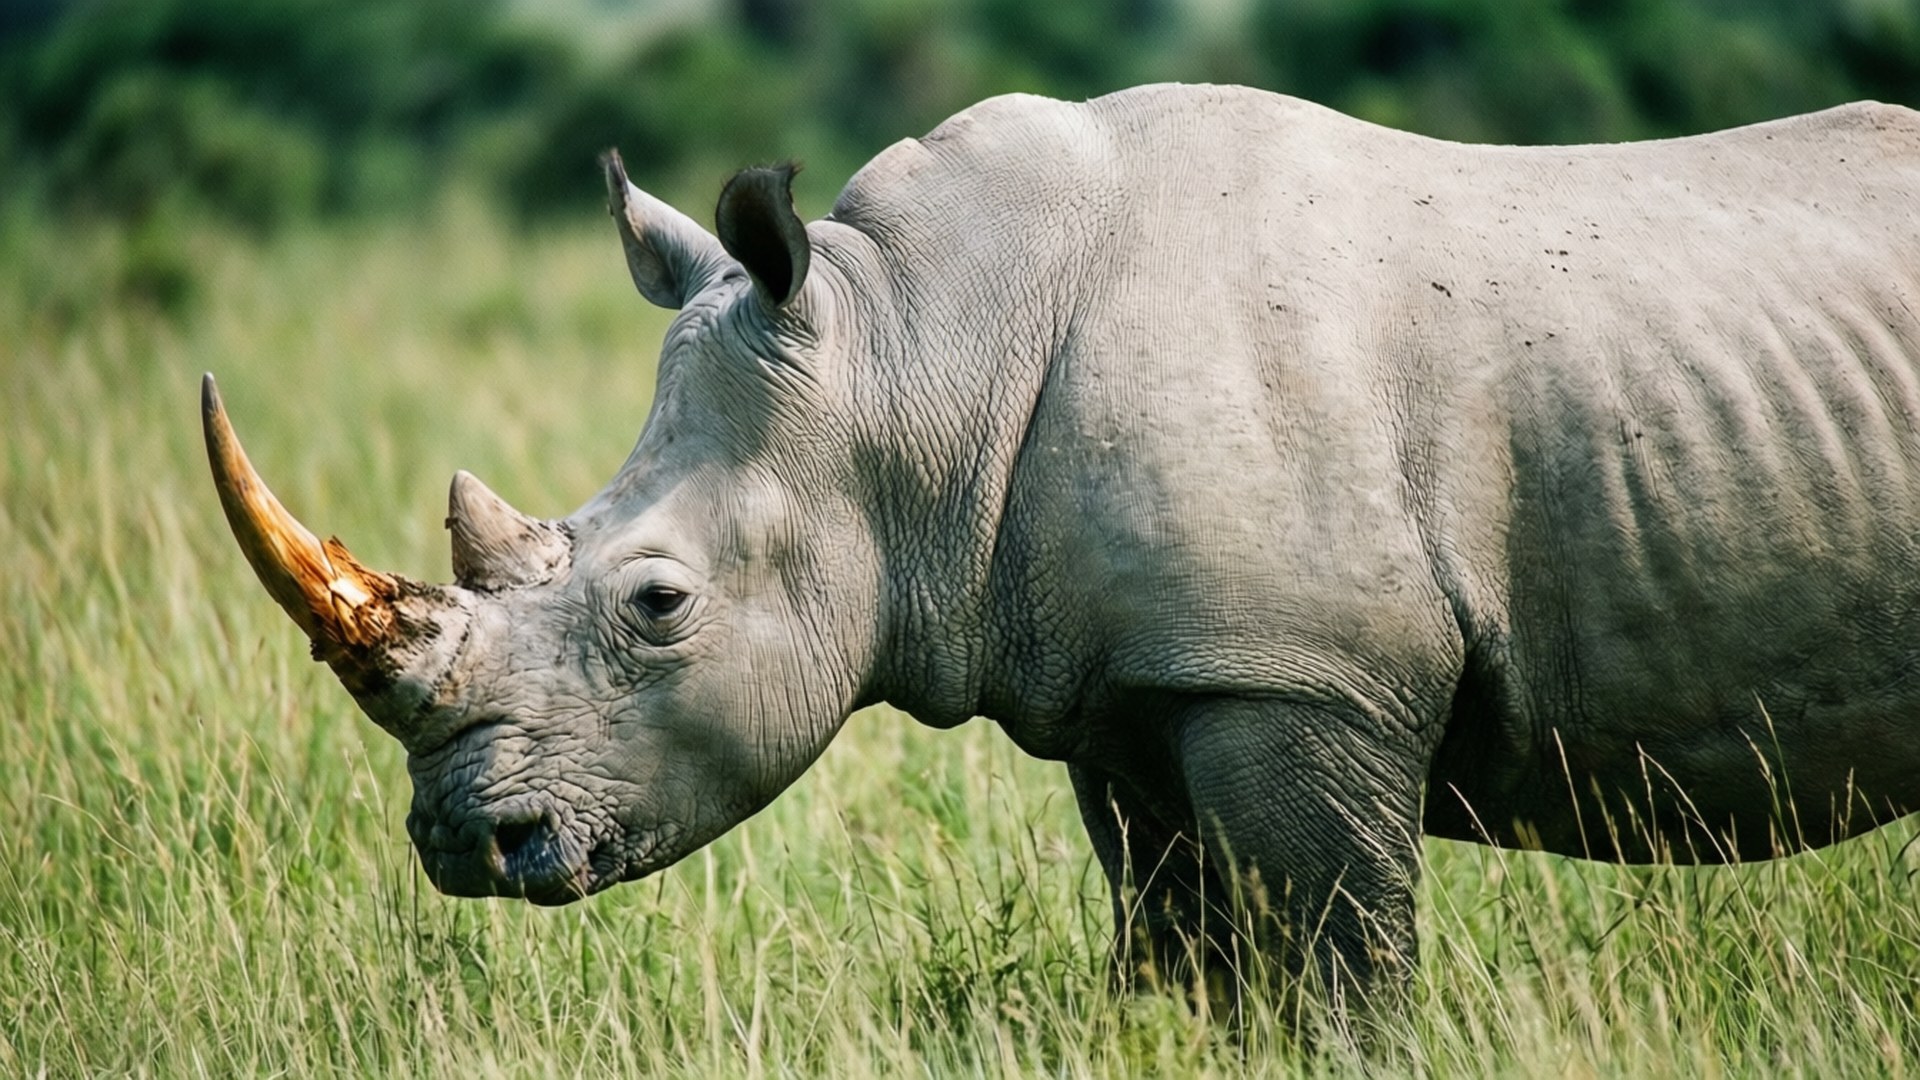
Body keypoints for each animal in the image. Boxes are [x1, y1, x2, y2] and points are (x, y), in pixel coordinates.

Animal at [204, 83, 1920, 1006]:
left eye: (660, 605)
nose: (461, 846)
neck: (910, 353)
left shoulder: (1304, 675)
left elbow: (1344, 982)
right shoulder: (1143, 692)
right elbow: (1186, 965)